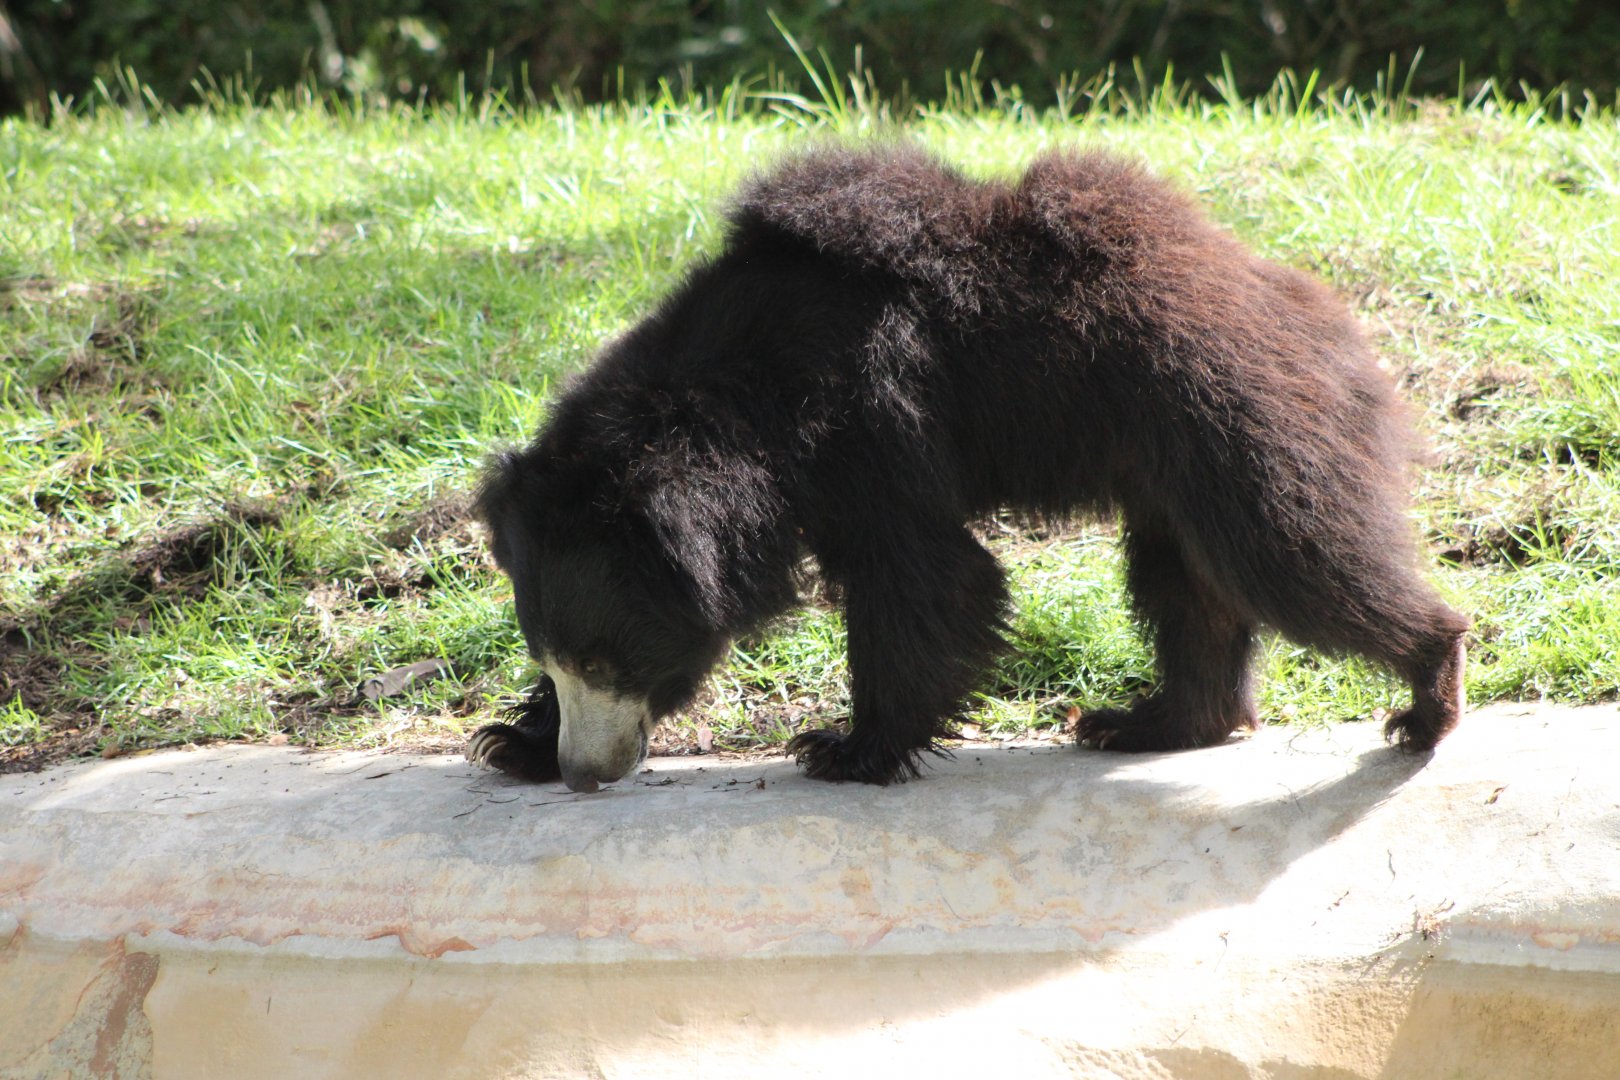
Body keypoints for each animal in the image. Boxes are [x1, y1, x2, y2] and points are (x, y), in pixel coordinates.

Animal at [467, 144, 1468, 793]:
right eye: (553, 658)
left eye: (609, 657)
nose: (585, 773)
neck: (736, 394)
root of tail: (1326, 317)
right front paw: (510, 742)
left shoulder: (867, 423)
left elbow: (927, 576)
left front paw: (845, 749)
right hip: (1174, 467)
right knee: (1189, 589)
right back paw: (1144, 722)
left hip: (1243, 425)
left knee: (1294, 558)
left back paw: (1428, 696)